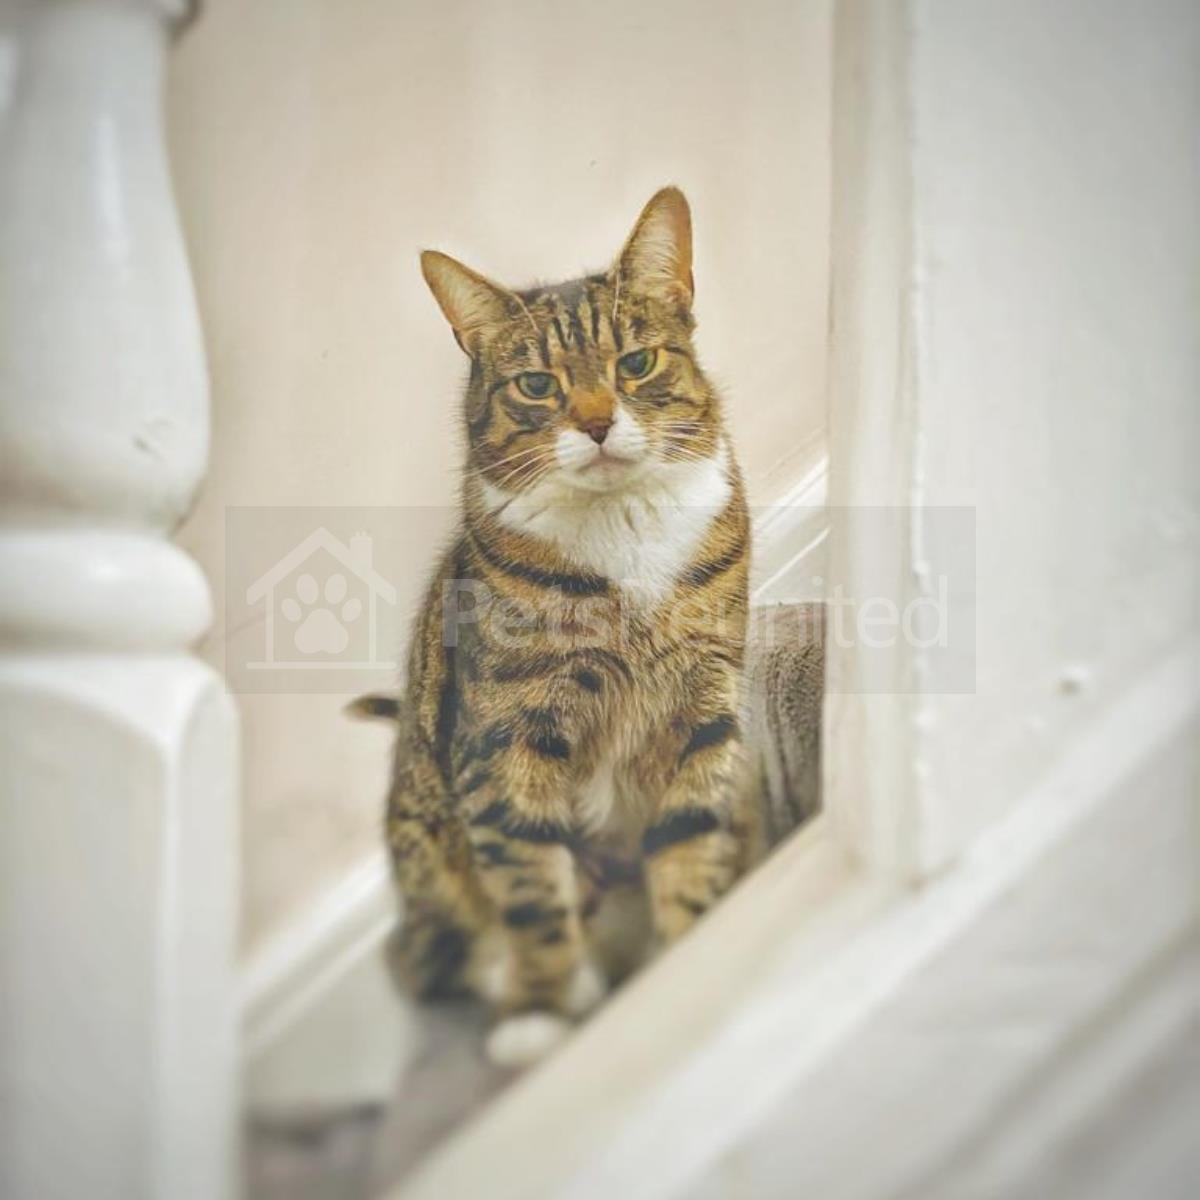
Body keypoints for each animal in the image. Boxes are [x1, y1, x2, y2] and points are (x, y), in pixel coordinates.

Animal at [379, 188, 753, 1067]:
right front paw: (543, 1010)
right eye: (536, 384)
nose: (595, 422)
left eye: (636, 364)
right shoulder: (503, 738)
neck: (624, 535)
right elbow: (527, 880)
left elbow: (691, 829)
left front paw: (692, 947)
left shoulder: (709, 694)